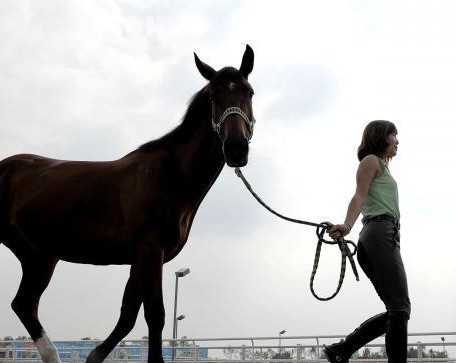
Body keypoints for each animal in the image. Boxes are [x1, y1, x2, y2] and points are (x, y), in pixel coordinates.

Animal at [0, 44, 256, 363]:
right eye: (212, 96)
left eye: (249, 92)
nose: (235, 147)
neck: (169, 175)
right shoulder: (150, 250)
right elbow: (155, 316)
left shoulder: (140, 258)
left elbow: (127, 316)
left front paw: (94, 355)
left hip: (39, 255)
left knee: (24, 304)